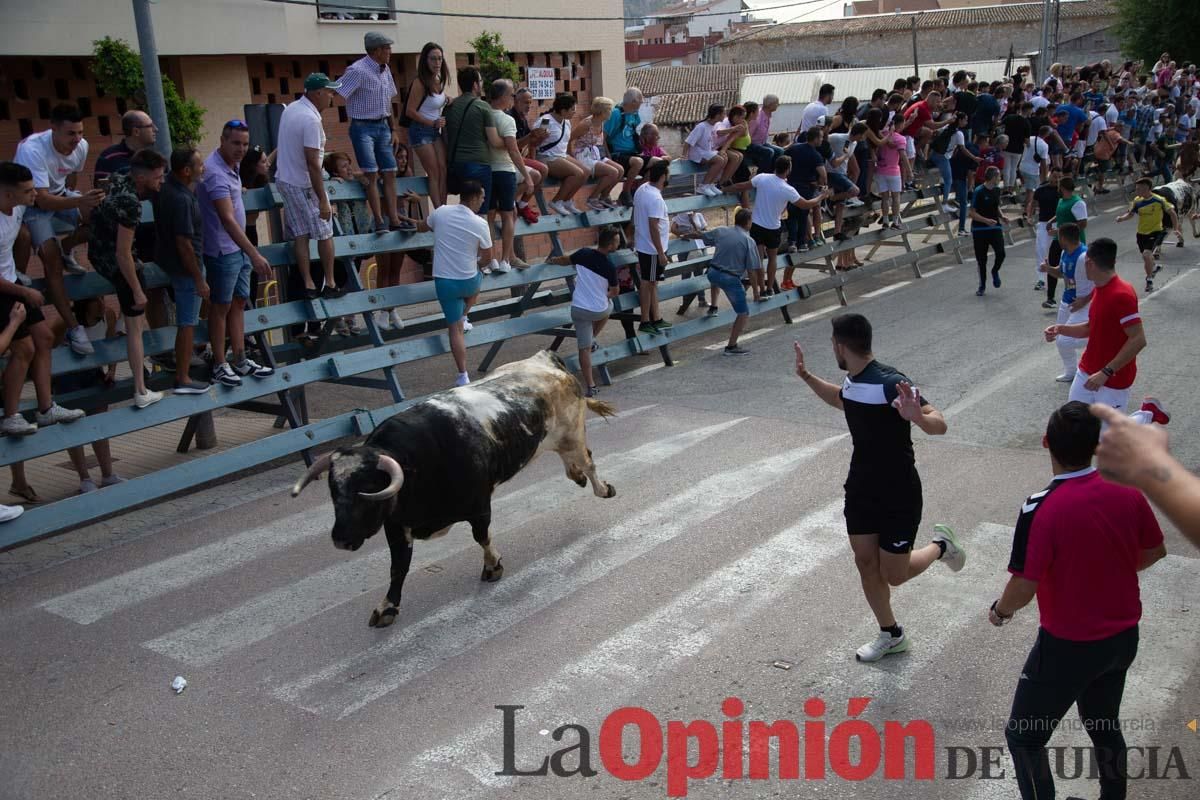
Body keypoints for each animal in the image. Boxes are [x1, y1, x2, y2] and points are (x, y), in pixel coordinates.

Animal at [285, 352, 614, 628]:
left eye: (367, 490)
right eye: (333, 489)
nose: (340, 539)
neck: (416, 464)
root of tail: (545, 360)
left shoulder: (479, 505)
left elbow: (482, 537)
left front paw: (492, 567)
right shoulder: (397, 525)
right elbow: (398, 568)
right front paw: (387, 607)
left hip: (573, 433)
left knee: (588, 461)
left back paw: (602, 488)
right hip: (559, 439)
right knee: (572, 463)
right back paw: (577, 477)